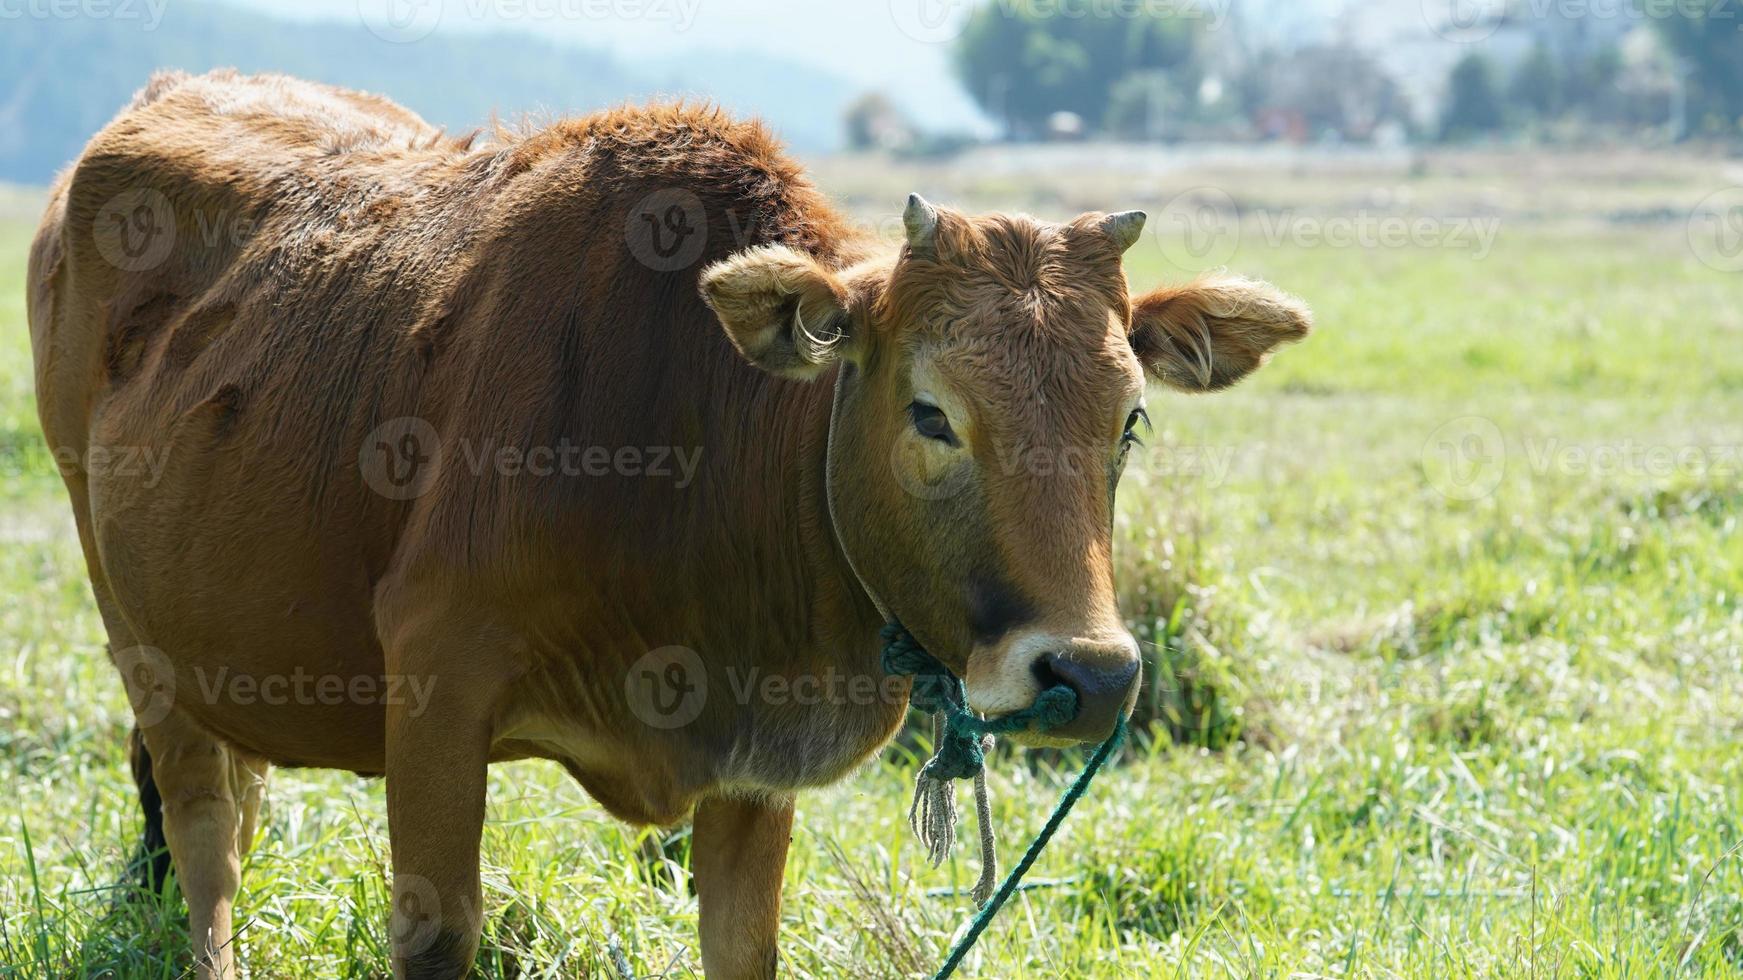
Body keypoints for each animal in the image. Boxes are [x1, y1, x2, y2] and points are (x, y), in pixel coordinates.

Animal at [30, 70, 1310, 976]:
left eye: (1130, 419)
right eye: (931, 411)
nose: (1090, 674)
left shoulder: (755, 769)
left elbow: (743, 948)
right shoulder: (436, 688)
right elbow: (438, 933)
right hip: (137, 633)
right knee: (205, 833)